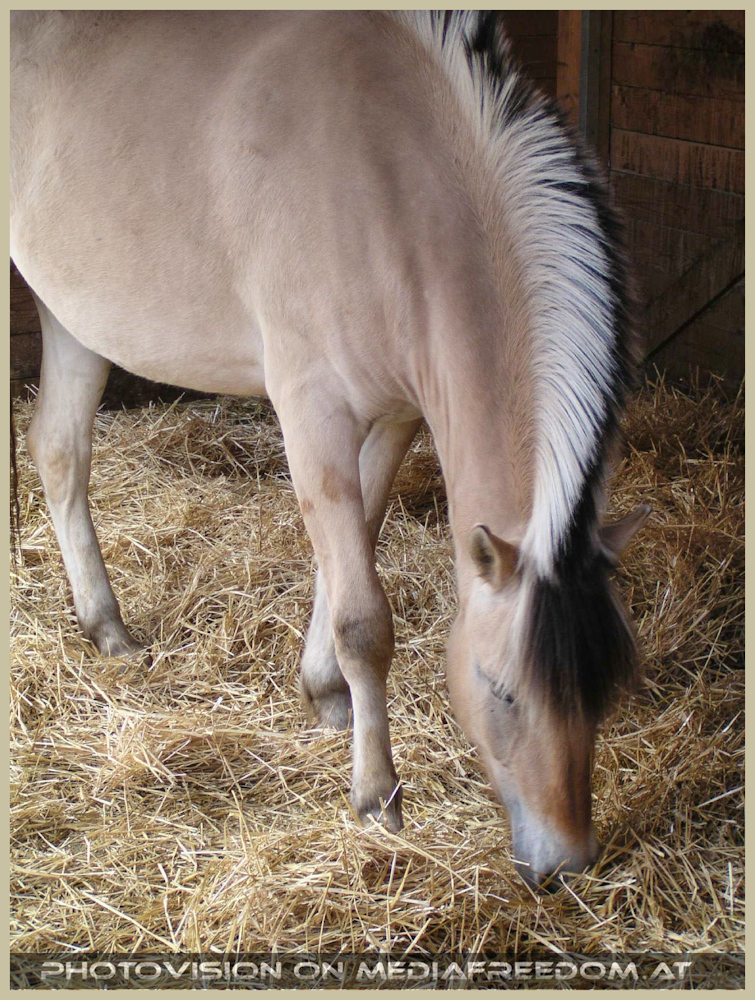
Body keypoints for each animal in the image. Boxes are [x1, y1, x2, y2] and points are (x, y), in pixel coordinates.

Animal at [10, 10, 650, 891]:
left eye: (606, 687)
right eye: (502, 692)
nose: (565, 863)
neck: (390, 184)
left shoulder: (392, 417)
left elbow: (349, 556)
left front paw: (322, 693)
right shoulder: (310, 413)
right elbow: (363, 619)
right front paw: (375, 793)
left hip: (74, 312)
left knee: (60, 452)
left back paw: (105, 627)